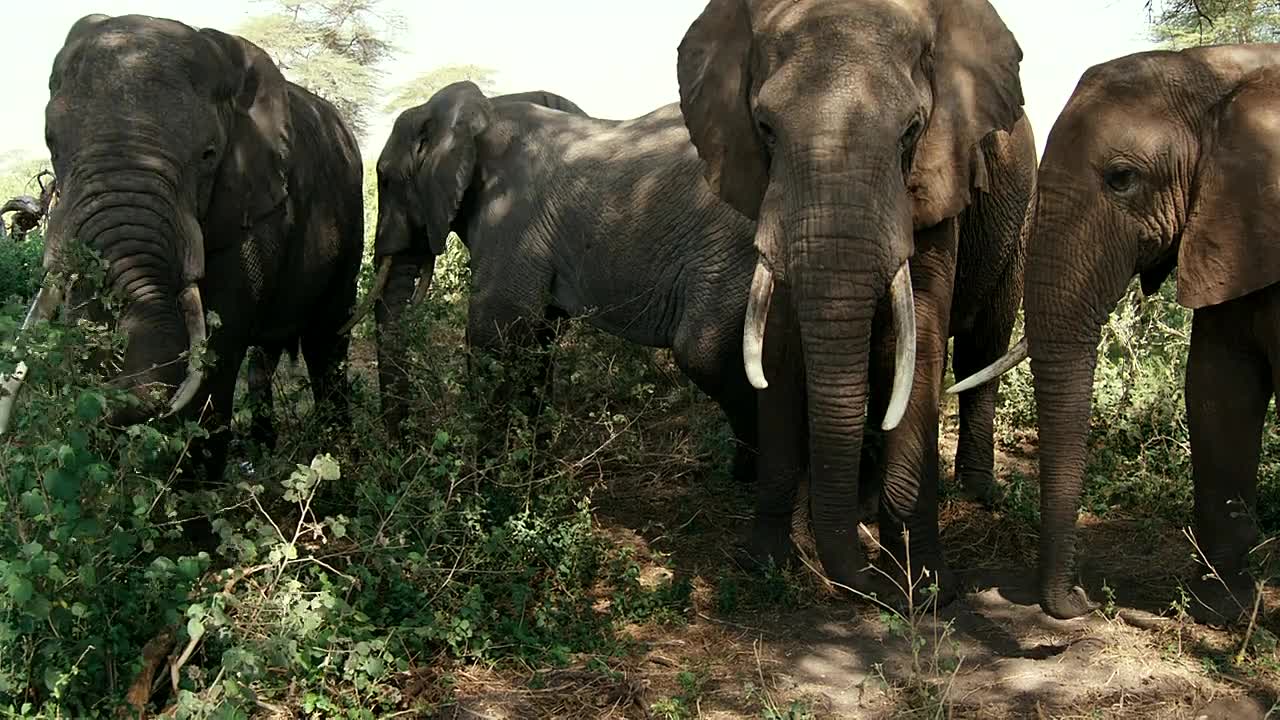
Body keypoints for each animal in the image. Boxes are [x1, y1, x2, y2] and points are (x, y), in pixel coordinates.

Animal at [0, 14, 365, 482]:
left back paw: (338, 463)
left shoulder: (254, 204)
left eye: (209, 154)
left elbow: (217, 350)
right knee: (266, 358)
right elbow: (90, 326)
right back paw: (264, 448)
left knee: (327, 341)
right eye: (52, 145)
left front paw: (189, 491)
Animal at [354, 82, 767, 482]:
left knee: (703, 353)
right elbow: (539, 338)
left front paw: (483, 485)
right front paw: (532, 472)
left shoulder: (512, 216)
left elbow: (495, 334)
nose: (404, 458)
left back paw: (746, 475)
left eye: (385, 180)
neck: (480, 113)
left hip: (730, 247)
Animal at [675, 0, 1032, 603]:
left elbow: (919, 340)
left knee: (982, 346)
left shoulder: (941, 174)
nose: (861, 582)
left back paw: (974, 494)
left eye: (911, 130)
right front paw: (766, 564)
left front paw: (926, 587)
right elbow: (780, 342)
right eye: (766, 129)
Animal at [953, 44, 1280, 624]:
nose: (1080, 600)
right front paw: (1220, 610)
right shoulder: (1230, 225)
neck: (1217, 73)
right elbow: (1218, 388)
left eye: (1122, 178)